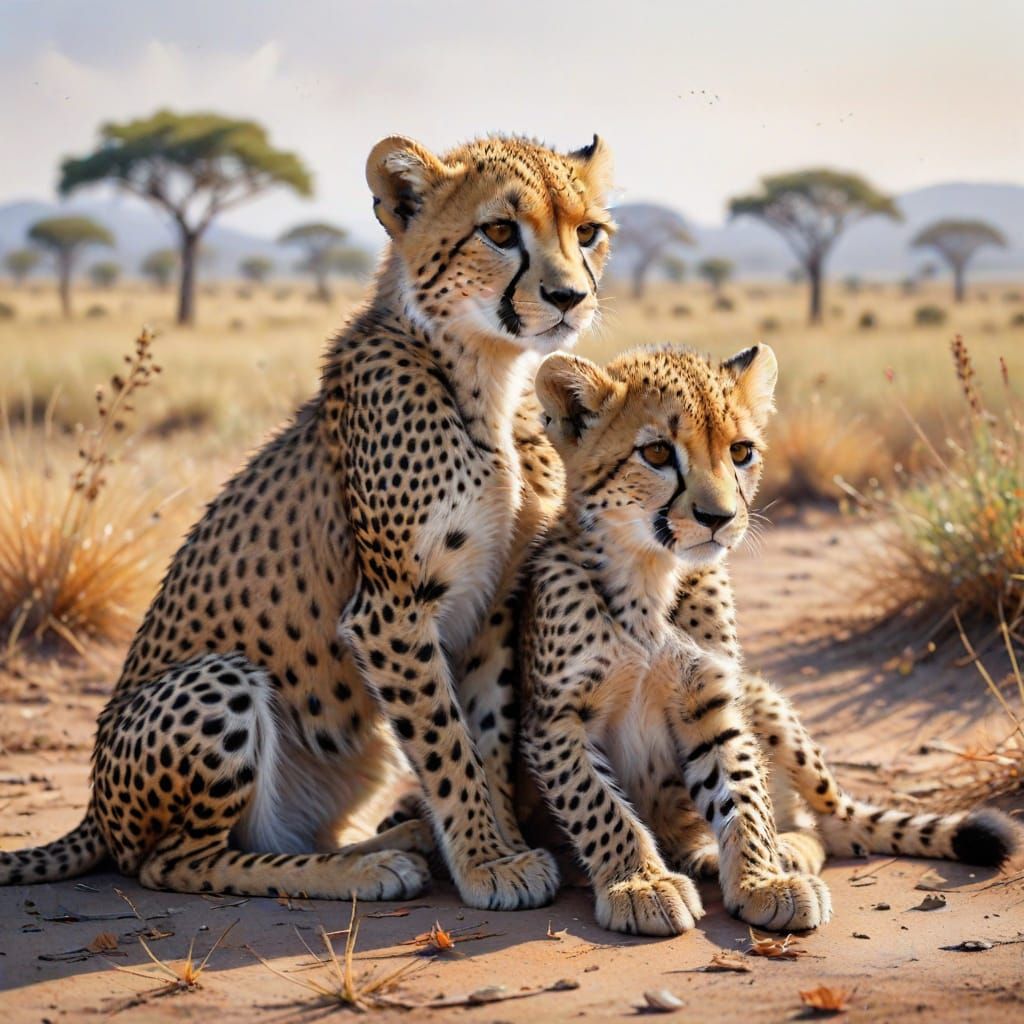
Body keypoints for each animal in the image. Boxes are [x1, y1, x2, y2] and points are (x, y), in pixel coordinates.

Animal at [0, 132, 617, 911]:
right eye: (501, 231)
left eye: (587, 232)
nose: (571, 297)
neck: (490, 377)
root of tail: (91, 810)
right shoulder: (388, 611)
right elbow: (446, 744)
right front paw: (486, 862)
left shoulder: (494, 604)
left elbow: (485, 734)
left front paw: (497, 844)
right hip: (217, 679)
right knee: (176, 862)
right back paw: (365, 870)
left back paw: (397, 841)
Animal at [519, 342, 1020, 936]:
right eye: (657, 452)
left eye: (740, 451)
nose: (718, 517)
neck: (650, 573)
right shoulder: (556, 718)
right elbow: (599, 805)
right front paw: (640, 882)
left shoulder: (711, 701)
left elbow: (743, 792)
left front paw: (761, 880)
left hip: (762, 699)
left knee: (830, 822)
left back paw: (784, 851)